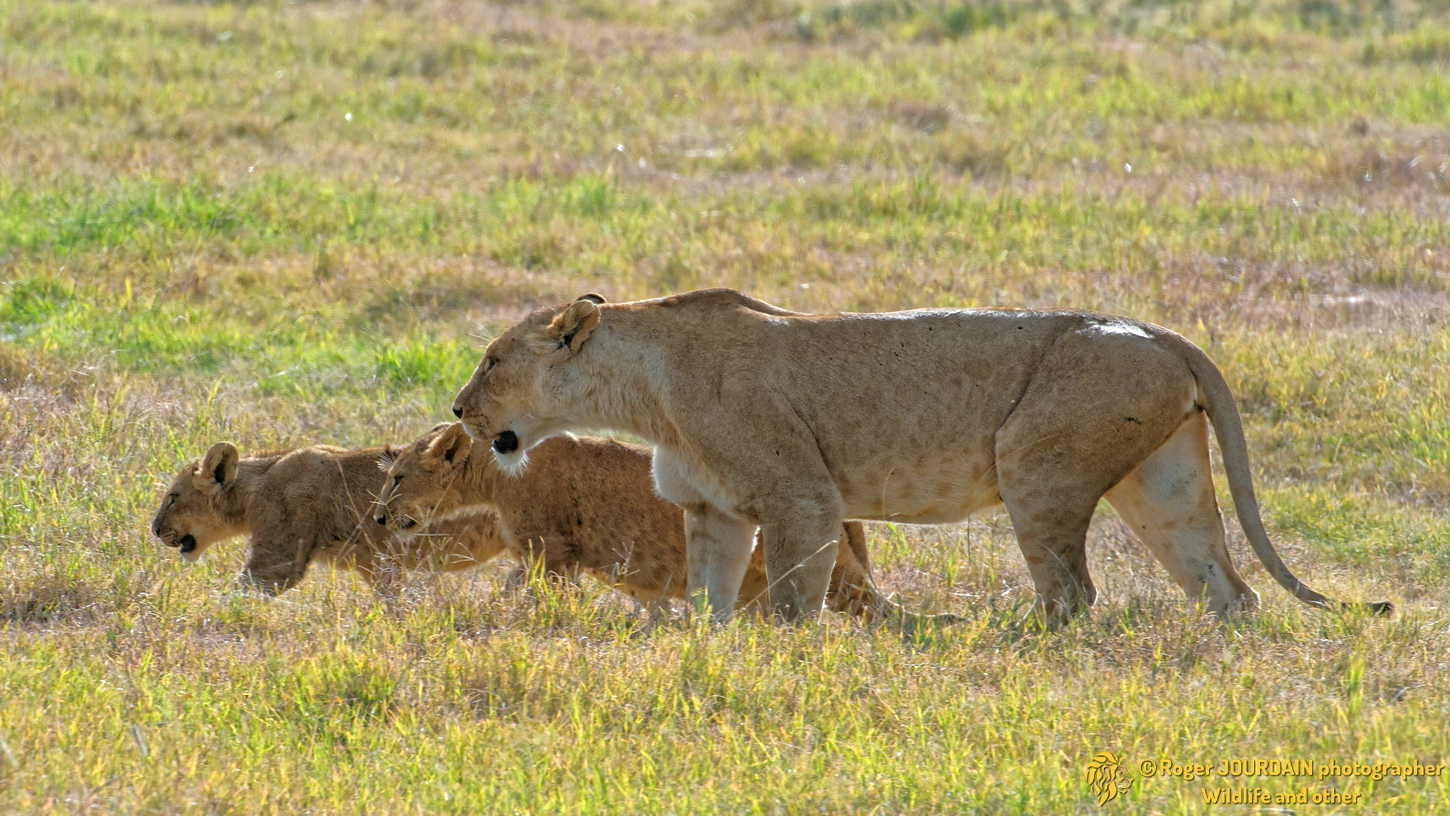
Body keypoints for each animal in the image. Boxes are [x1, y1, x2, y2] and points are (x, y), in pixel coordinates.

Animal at [374, 422, 947, 624]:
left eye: (398, 477)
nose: (378, 516)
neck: (492, 474)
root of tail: (848, 517)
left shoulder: (550, 552)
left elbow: (535, 596)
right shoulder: (544, 553)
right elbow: (516, 588)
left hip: (827, 576)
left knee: (880, 615)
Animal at [450, 288, 1393, 624]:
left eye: (493, 359)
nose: (457, 410)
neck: (646, 393)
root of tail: (1155, 329)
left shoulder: (802, 498)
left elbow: (791, 598)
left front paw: (788, 654)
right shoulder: (712, 509)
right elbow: (712, 600)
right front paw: (710, 648)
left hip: (1035, 463)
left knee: (1072, 592)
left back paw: (1009, 643)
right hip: (1162, 483)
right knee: (1226, 586)